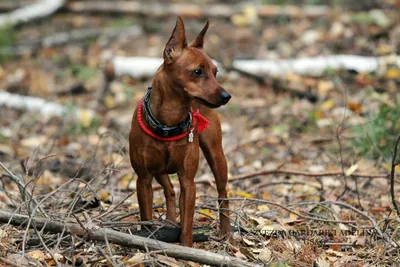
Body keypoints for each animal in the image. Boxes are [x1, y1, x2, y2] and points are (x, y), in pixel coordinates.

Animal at [130, 16, 231, 247]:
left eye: (215, 72)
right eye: (197, 71)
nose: (226, 96)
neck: (169, 122)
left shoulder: (188, 182)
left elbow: (187, 223)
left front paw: (187, 249)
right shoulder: (144, 180)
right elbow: (146, 217)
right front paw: (147, 239)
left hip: (216, 156)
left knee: (223, 193)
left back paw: (226, 232)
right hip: (159, 170)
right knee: (169, 190)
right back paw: (169, 222)